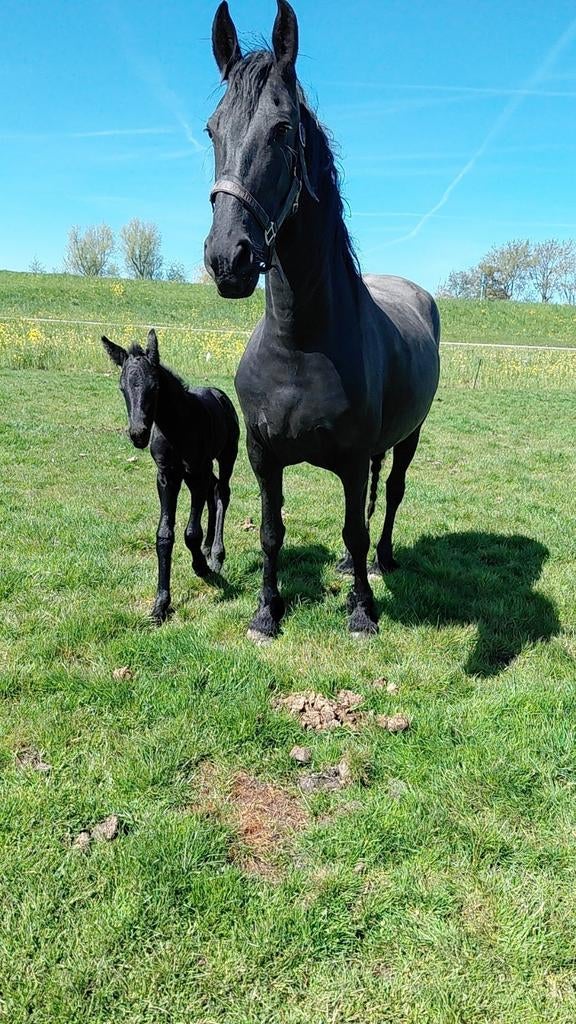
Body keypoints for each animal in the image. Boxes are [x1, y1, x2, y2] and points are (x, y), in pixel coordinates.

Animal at [102, 329, 239, 623]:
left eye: (155, 387)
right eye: (122, 388)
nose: (138, 434)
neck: (177, 426)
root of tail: (218, 393)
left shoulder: (196, 473)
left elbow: (191, 532)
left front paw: (201, 567)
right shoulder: (167, 477)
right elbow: (164, 535)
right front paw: (161, 604)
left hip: (226, 456)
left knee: (221, 493)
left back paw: (216, 554)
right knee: (212, 492)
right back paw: (208, 549)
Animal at [204, 0, 440, 641]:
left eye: (283, 130)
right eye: (212, 130)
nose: (228, 259)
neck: (297, 344)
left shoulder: (353, 460)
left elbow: (355, 528)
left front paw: (361, 610)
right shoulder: (263, 458)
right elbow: (271, 532)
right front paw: (267, 611)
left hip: (407, 437)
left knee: (390, 495)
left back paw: (382, 562)